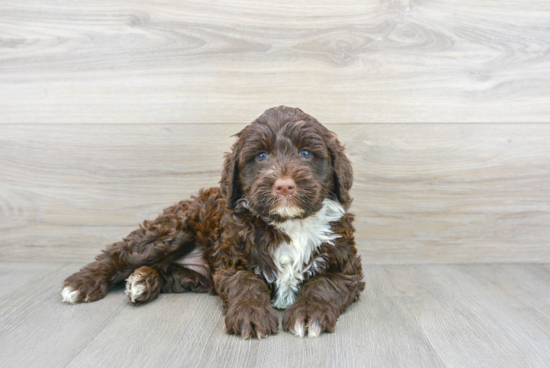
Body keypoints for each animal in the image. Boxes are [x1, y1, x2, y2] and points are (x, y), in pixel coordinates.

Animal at [61, 105, 366, 340]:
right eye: (261, 156)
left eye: (306, 153)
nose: (284, 186)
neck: (290, 224)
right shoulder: (234, 261)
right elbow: (246, 283)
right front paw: (250, 314)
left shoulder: (345, 266)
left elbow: (324, 284)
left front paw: (309, 313)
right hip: (171, 231)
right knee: (120, 254)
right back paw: (81, 283)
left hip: (193, 275)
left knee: (165, 270)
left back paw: (142, 281)